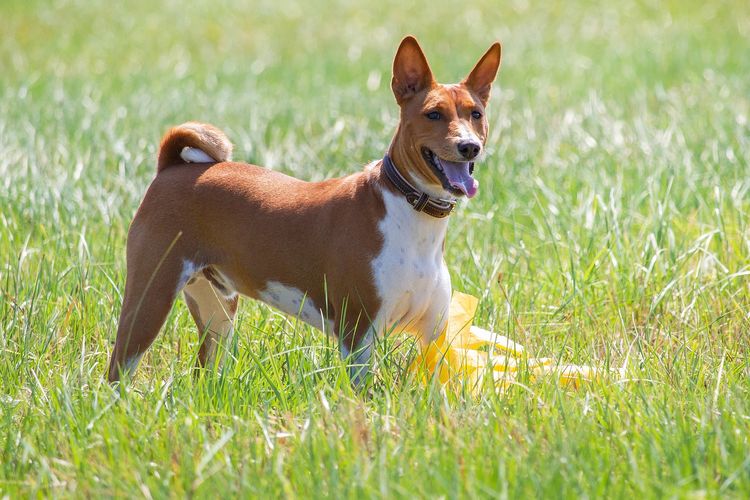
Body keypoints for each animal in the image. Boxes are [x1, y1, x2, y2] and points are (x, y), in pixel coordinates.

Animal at [107, 37, 506, 384]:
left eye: (476, 114)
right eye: (433, 114)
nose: (468, 146)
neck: (412, 215)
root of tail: (172, 168)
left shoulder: (433, 336)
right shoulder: (358, 336)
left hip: (218, 312)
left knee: (204, 372)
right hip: (150, 298)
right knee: (118, 370)